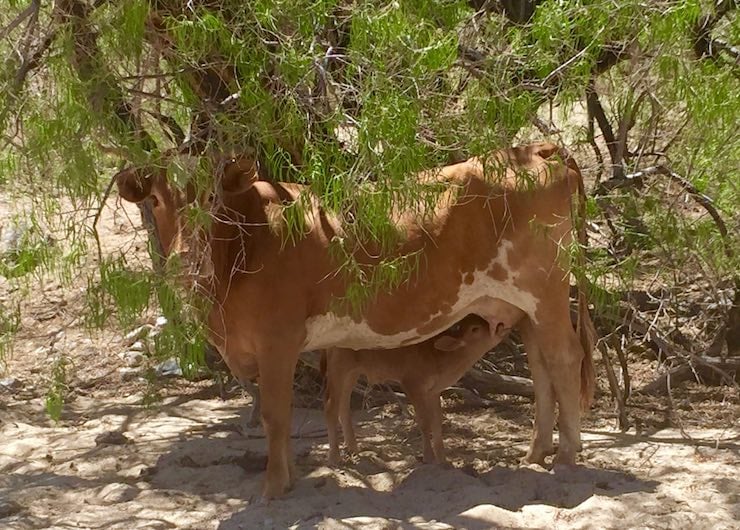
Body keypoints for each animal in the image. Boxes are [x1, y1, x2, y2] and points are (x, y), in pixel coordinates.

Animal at [322, 313, 495, 466]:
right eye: (475, 329)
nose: (498, 327)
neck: (437, 354)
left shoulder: (433, 391)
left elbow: (437, 421)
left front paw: (443, 460)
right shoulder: (412, 385)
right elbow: (424, 421)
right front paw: (428, 457)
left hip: (352, 373)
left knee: (343, 407)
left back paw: (353, 449)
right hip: (339, 369)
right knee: (331, 408)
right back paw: (334, 458)